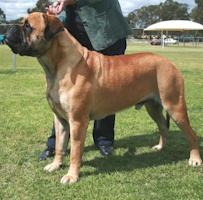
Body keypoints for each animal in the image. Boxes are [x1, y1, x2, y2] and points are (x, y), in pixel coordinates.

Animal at [4, 12, 201, 184]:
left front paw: (71, 176)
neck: (57, 66)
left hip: (175, 106)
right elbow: (60, 145)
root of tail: (170, 62)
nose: (10, 28)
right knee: (163, 127)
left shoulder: (77, 121)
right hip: (153, 107)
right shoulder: (60, 119)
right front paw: (55, 165)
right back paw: (161, 147)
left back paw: (195, 159)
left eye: (27, 25)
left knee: (191, 134)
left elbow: (75, 151)